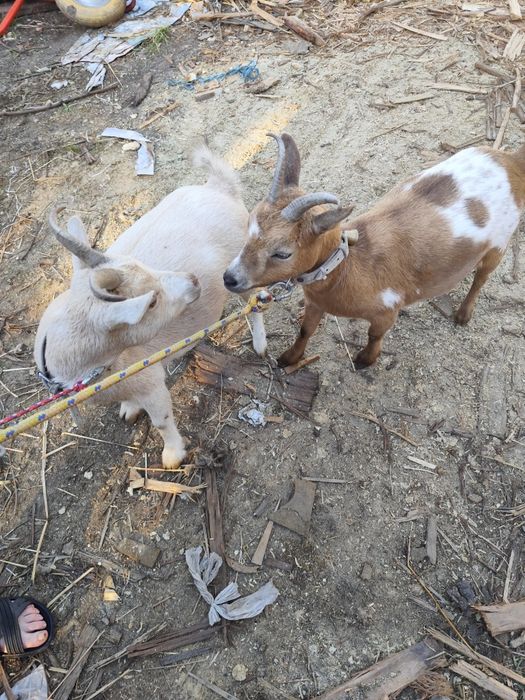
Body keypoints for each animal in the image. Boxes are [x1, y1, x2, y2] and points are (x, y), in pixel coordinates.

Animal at [35, 147, 267, 467]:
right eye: (151, 302)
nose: (193, 281)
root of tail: (218, 187)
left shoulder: (150, 382)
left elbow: (161, 420)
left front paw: (172, 456)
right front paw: (129, 409)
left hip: (240, 268)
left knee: (254, 303)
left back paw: (260, 345)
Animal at [224, 133, 524, 368]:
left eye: (283, 253)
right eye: (249, 225)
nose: (229, 278)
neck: (347, 267)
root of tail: (512, 162)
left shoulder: (387, 309)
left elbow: (375, 335)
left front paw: (365, 360)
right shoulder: (316, 302)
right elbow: (305, 330)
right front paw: (288, 358)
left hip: (499, 242)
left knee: (482, 276)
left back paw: (463, 315)